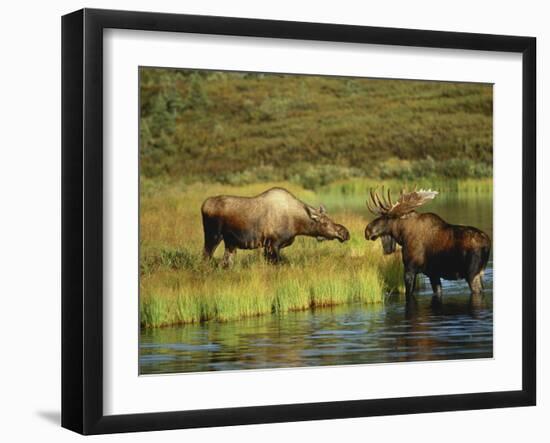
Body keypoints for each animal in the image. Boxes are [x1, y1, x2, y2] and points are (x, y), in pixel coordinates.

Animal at [202, 187, 350, 268]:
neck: (297, 224)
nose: (345, 233)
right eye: (324, 223)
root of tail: (203, 205)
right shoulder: (273, 244)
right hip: (213, 236)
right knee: (206, 257)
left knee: (224, 263)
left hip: (230, 244)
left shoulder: (268, 246)